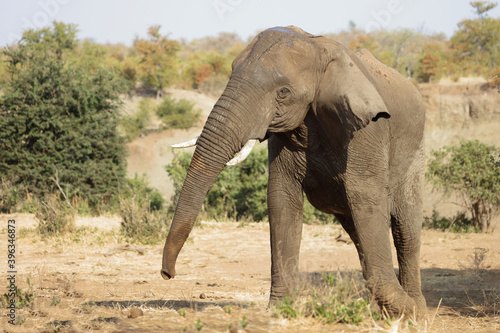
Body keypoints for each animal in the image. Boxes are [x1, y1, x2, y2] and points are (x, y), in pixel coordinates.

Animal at [160, 25, 426, 316]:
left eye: (283, 92)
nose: (167, 274)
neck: (319, 50)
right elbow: (282, 199)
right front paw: (279, 310)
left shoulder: (367, 130)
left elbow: (366, 200)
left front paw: (408, 310)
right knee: (357, 231)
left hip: (414, 154)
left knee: (404, 229)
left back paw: (417, 310)